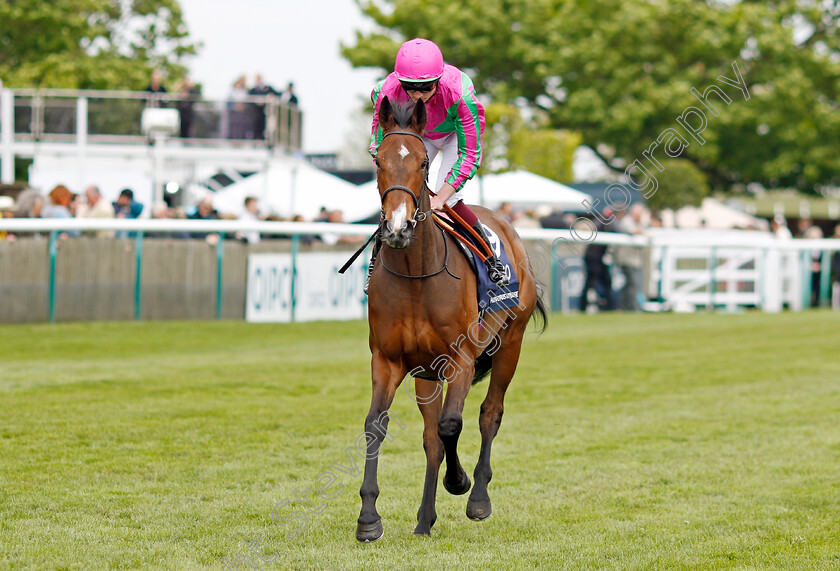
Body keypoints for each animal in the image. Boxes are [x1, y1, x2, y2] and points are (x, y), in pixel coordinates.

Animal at [356, 96, 548, 544]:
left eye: (424, 162)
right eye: (378, 160)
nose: (397, 227)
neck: (417, 276)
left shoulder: (461, 359)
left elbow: (451, 425)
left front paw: (458, 483)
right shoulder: (388, 360)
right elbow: (378, 425)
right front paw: (369, 518)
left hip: (510, 345)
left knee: (489, 413)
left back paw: (477, 497)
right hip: (426, 372)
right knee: (430, 439)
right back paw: (425, 518)